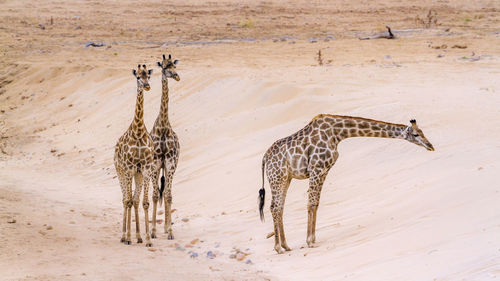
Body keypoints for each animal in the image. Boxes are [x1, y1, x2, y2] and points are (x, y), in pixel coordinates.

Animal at [258, 112, 434, 253]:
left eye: (422, 132)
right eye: (416, 134)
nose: (430, 146)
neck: (337, 133)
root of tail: (265, 158)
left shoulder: (324, 170)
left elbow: (316, 204)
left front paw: (312, 239)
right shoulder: (316, 168)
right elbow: (311, 203)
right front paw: (310, 241)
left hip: (285, 178)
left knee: (278, 207)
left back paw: (285, 246)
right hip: (278, 177)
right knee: (274, 207)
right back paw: (278, 248)